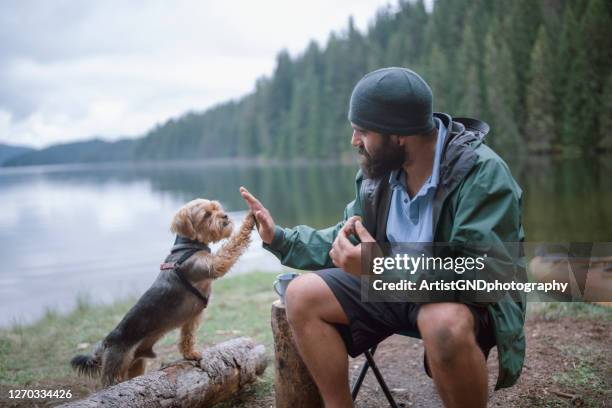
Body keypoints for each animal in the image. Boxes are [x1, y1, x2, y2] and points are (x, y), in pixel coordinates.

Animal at [70, 200, 255, 386]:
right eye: (207, 214)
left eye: (217, 208)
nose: (225, 216)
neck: (189, 247)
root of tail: (106, 342)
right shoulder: (213, 265)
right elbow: (232, 246)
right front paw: (250, 219)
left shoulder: (191, 318)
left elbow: (187, 337)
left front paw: (190, 353)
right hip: (116, 366)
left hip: (136, 364)